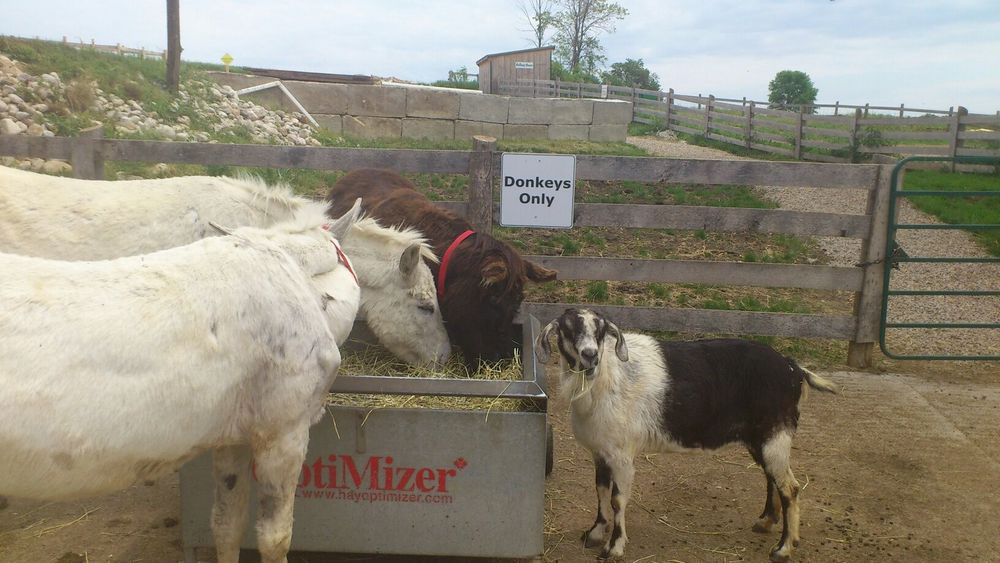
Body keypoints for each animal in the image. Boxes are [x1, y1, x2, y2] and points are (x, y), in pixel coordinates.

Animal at [535, 308, 837, 562]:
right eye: (568, 328)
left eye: (600, 331)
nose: (590, 355)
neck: (607, 377)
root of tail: (793, 368)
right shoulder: (601, 451)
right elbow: (599, 490)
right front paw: (595, 534)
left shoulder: (621, 455)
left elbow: (617, 499)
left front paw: (614, 547)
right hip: (761, 437)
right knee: (772, 478)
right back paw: (765, 522)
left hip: (776, 434)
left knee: (790, 488)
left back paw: (783, 548)